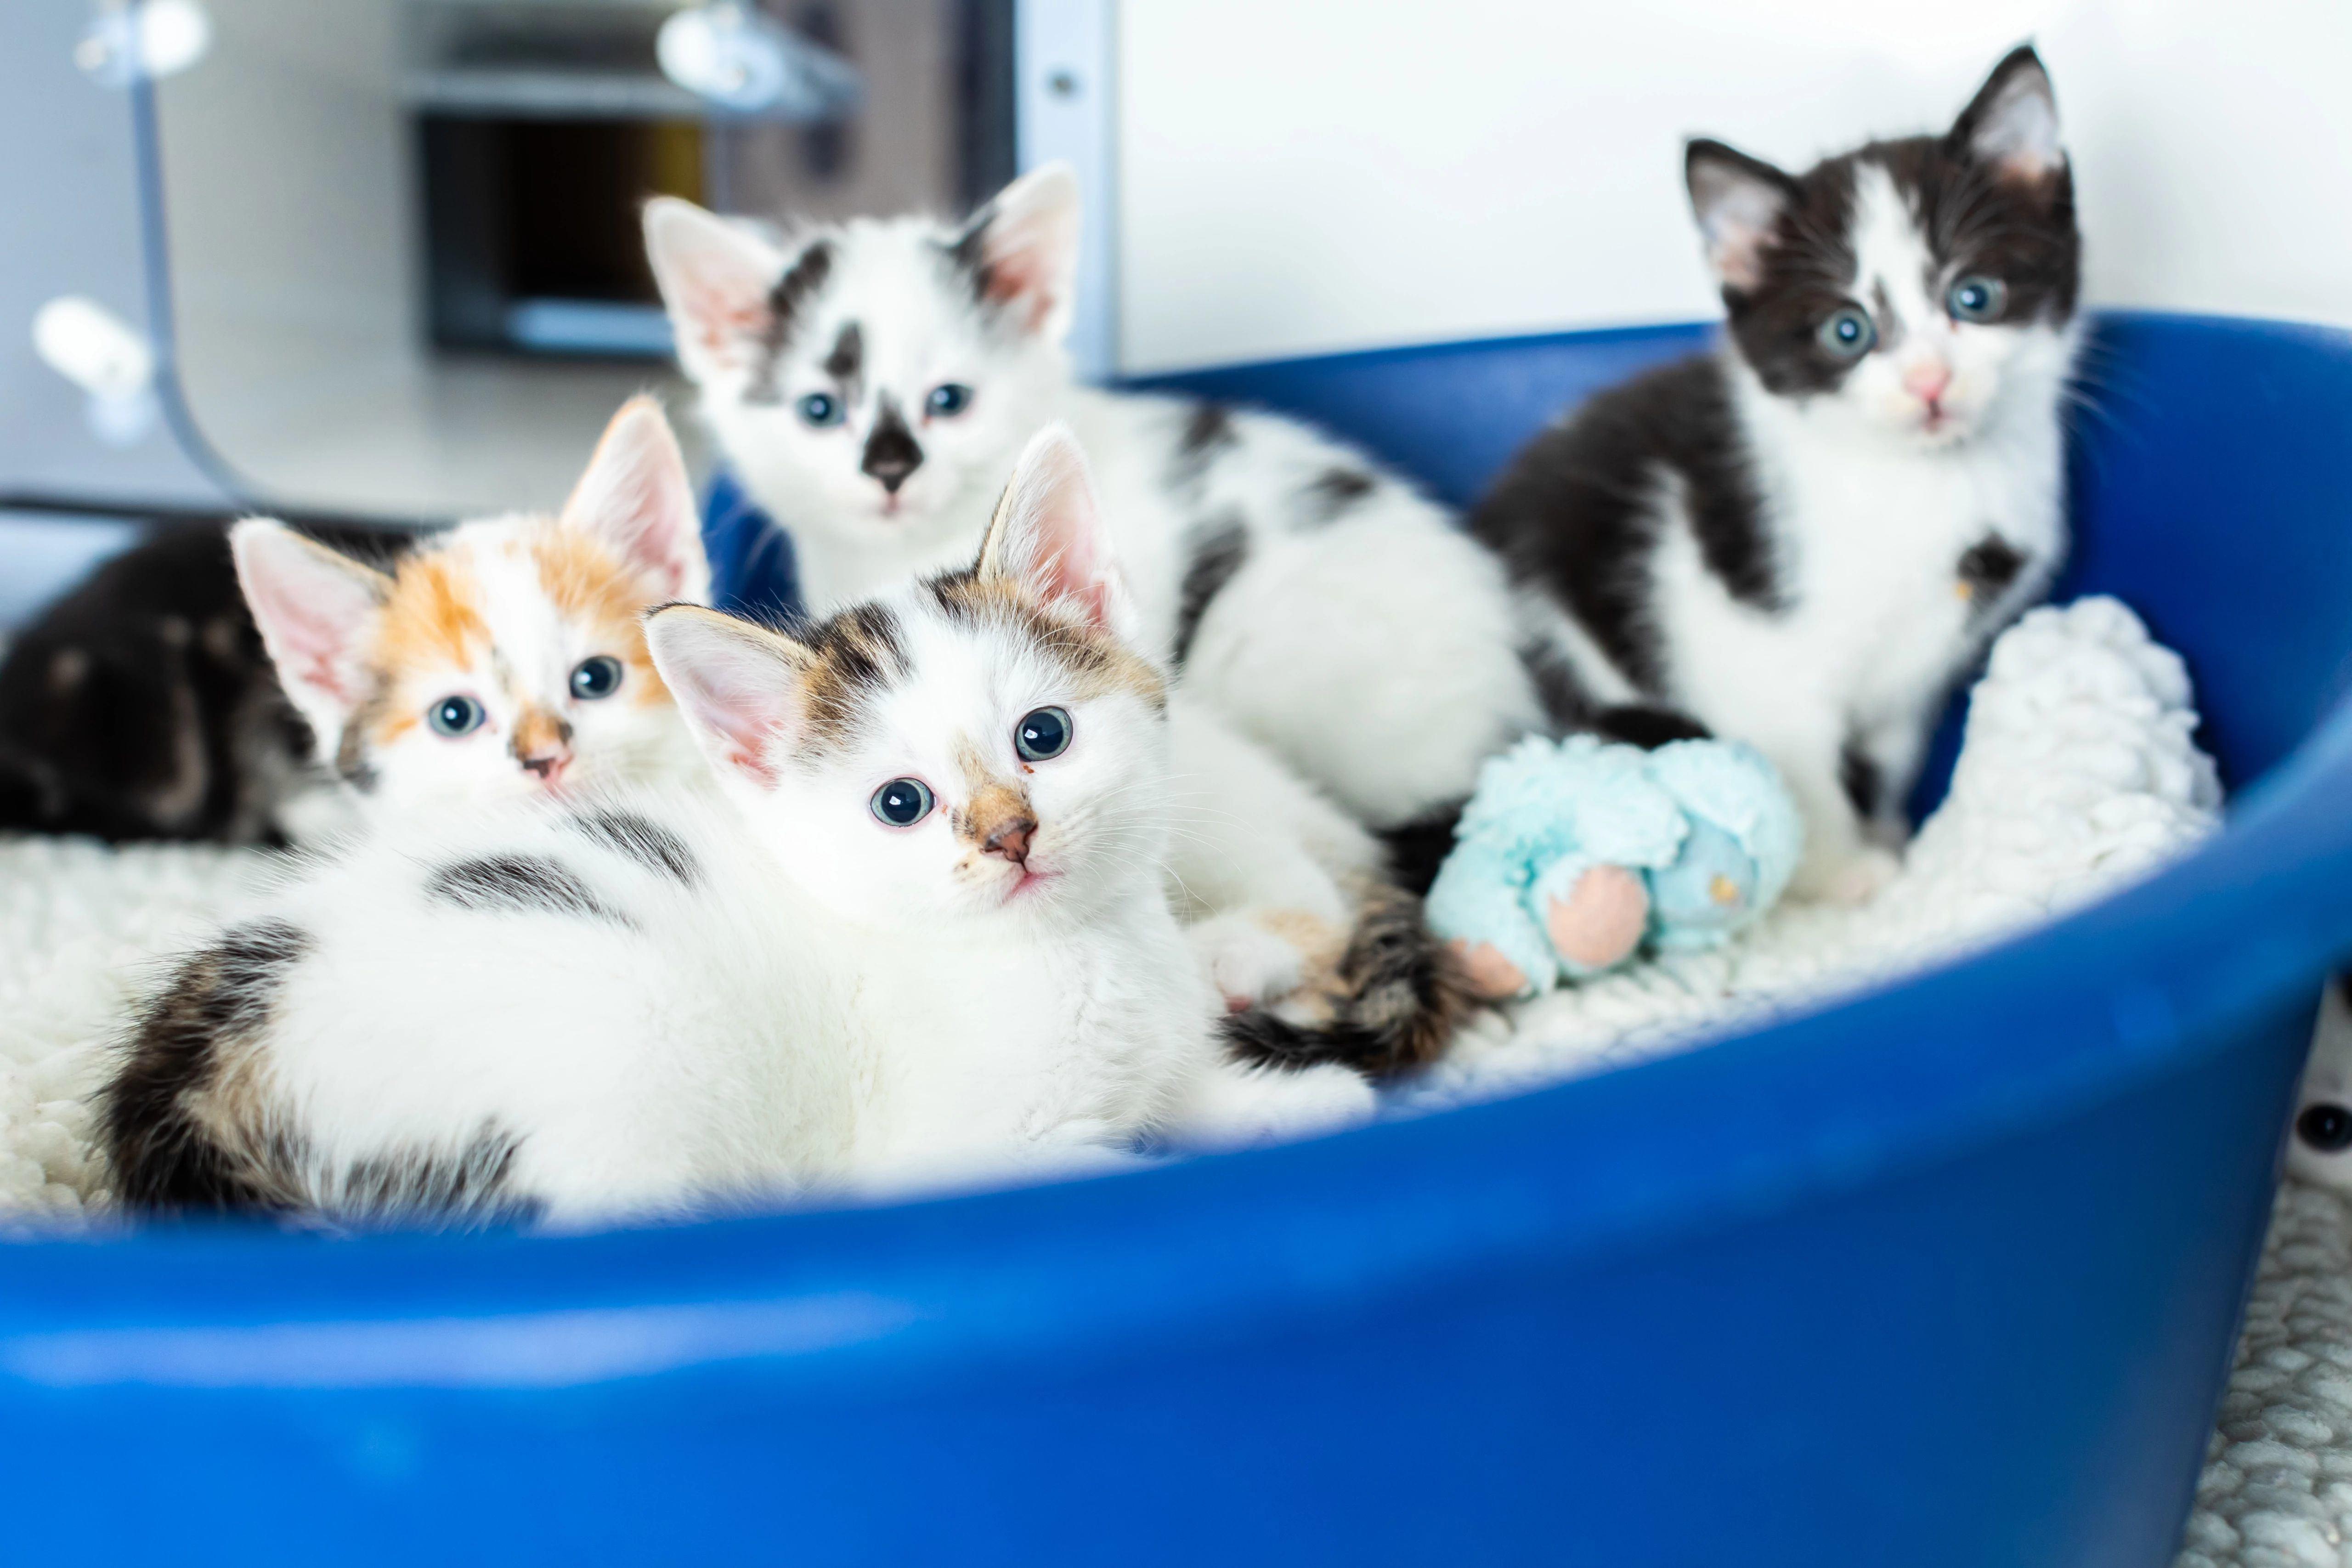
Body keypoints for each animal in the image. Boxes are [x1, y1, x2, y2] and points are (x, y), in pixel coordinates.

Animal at [1467, 49, 2079, 902]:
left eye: (1975, 297)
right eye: (1847, 330)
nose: (1929, 382)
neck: (1925, 485)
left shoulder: (1917, 675)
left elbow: (1892, 751)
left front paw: (1887, 831)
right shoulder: (1743, 641)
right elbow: (1799, 762)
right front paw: (1845, 870)